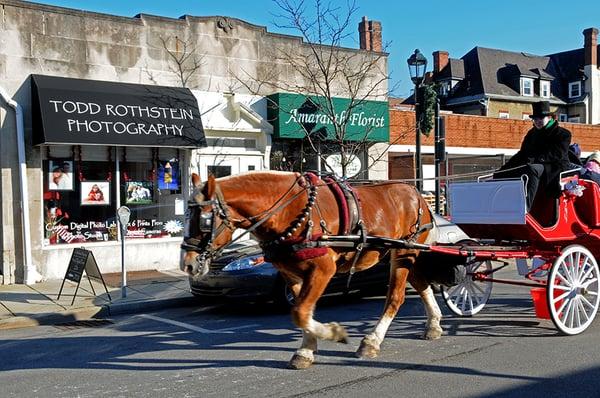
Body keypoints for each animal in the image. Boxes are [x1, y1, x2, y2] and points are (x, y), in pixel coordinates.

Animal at [180, 171, 442, 370]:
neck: (289, 211)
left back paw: (372, 341)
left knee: (395, 298)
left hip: (404, 251)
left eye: (204, 220)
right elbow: (302, 311)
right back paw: (433, 324)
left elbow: (300, 312)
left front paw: (334, 333)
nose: (188, 264)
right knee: (421, 284)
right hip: (405, 253)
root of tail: (415, 193)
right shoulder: (292, 274)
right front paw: (306, 350)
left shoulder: (323, 269)